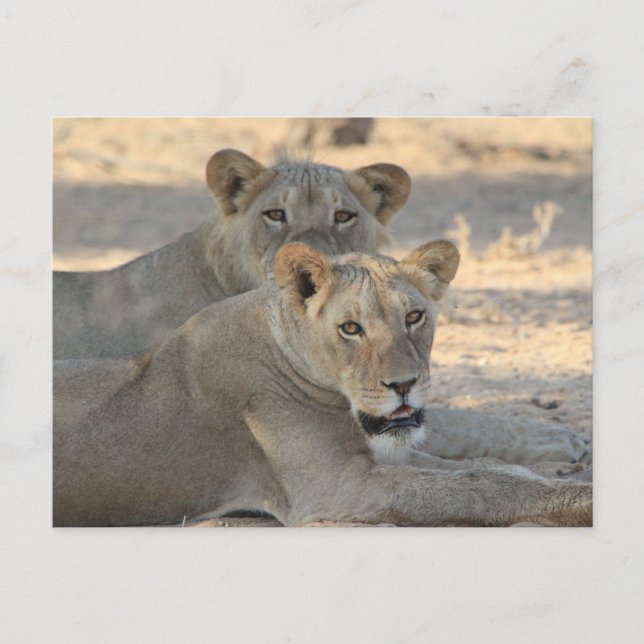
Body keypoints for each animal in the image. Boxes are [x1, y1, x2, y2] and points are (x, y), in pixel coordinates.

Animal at [53, 240, 591, 527]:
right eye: (351, 328)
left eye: (414, 317)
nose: (404, 384)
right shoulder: (337, 489)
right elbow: (476, 486)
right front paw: (577, 500)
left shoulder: (377, 454)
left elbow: (476, 469)